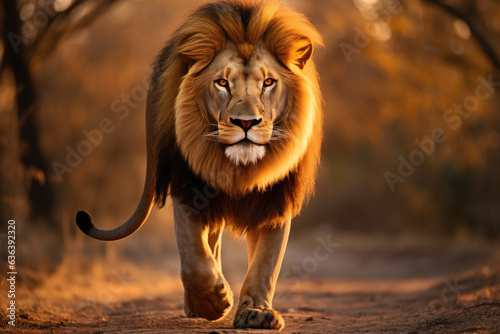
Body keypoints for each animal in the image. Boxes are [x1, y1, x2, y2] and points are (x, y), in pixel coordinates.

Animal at [76, 0, 322, 328]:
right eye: (222, 83)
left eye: (269, 83)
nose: (246, 123)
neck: (239, 169)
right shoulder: (188, 186)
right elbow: (192, 255)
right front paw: (211, 302)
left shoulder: (276, 199)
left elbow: (266, 263)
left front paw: (257, 312)